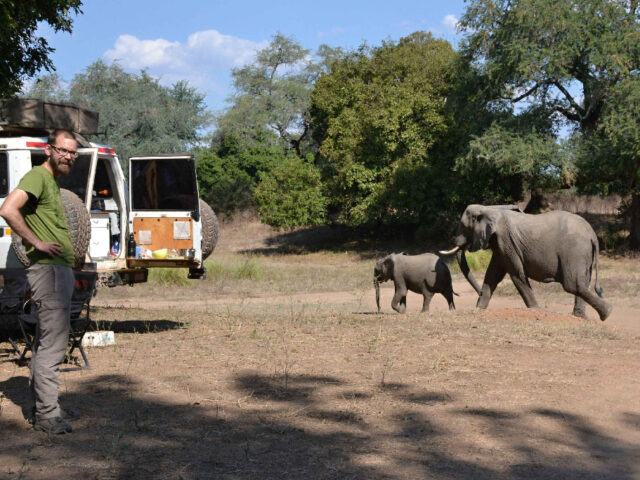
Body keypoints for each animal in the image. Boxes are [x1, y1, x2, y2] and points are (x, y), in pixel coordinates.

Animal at [438, 204, 612, 320]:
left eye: (464, 227)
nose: (477, 293)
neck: (489, 209)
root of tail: (592, 234)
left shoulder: (506, 241)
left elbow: (517, 274)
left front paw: (536, 310)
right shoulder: (500, 246)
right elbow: (492, 276)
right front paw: (480, 309)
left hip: (574, 251)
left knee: (573, 285)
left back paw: (607, 313)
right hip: (583, 254)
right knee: (583, 283)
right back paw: (581, 317)